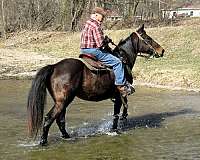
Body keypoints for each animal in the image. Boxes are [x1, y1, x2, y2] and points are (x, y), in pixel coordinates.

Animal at [26, 24, 164, 145]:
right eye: (148, 38)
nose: (161, 50)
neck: (123, 60)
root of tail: (54, 66)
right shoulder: (119, 96)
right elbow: (116, 115)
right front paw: (114, 131)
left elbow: (121, 111)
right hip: (62, 101)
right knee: (49, 118)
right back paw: (43, 142)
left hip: (62, 102)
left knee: (60, 120)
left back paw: (67, 136)